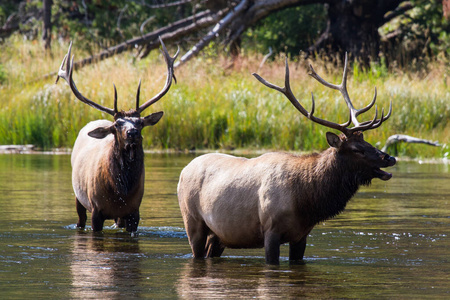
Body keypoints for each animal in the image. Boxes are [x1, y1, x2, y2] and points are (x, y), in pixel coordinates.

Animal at [57, 38, 179, 234]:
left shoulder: (134, 212)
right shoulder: (96, 209)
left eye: (140, 122)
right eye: (117, 125)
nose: (132, 132)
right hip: (78, 196)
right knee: (80, 220)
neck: (120, 192)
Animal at [178, 54, 396, 264]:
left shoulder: (301, 236)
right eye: (357, 149)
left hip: (218, 235)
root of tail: (183, 170)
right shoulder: (270, 229)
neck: (306, 201)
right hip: (192, 221)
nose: (390, 158)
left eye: (367, 142)